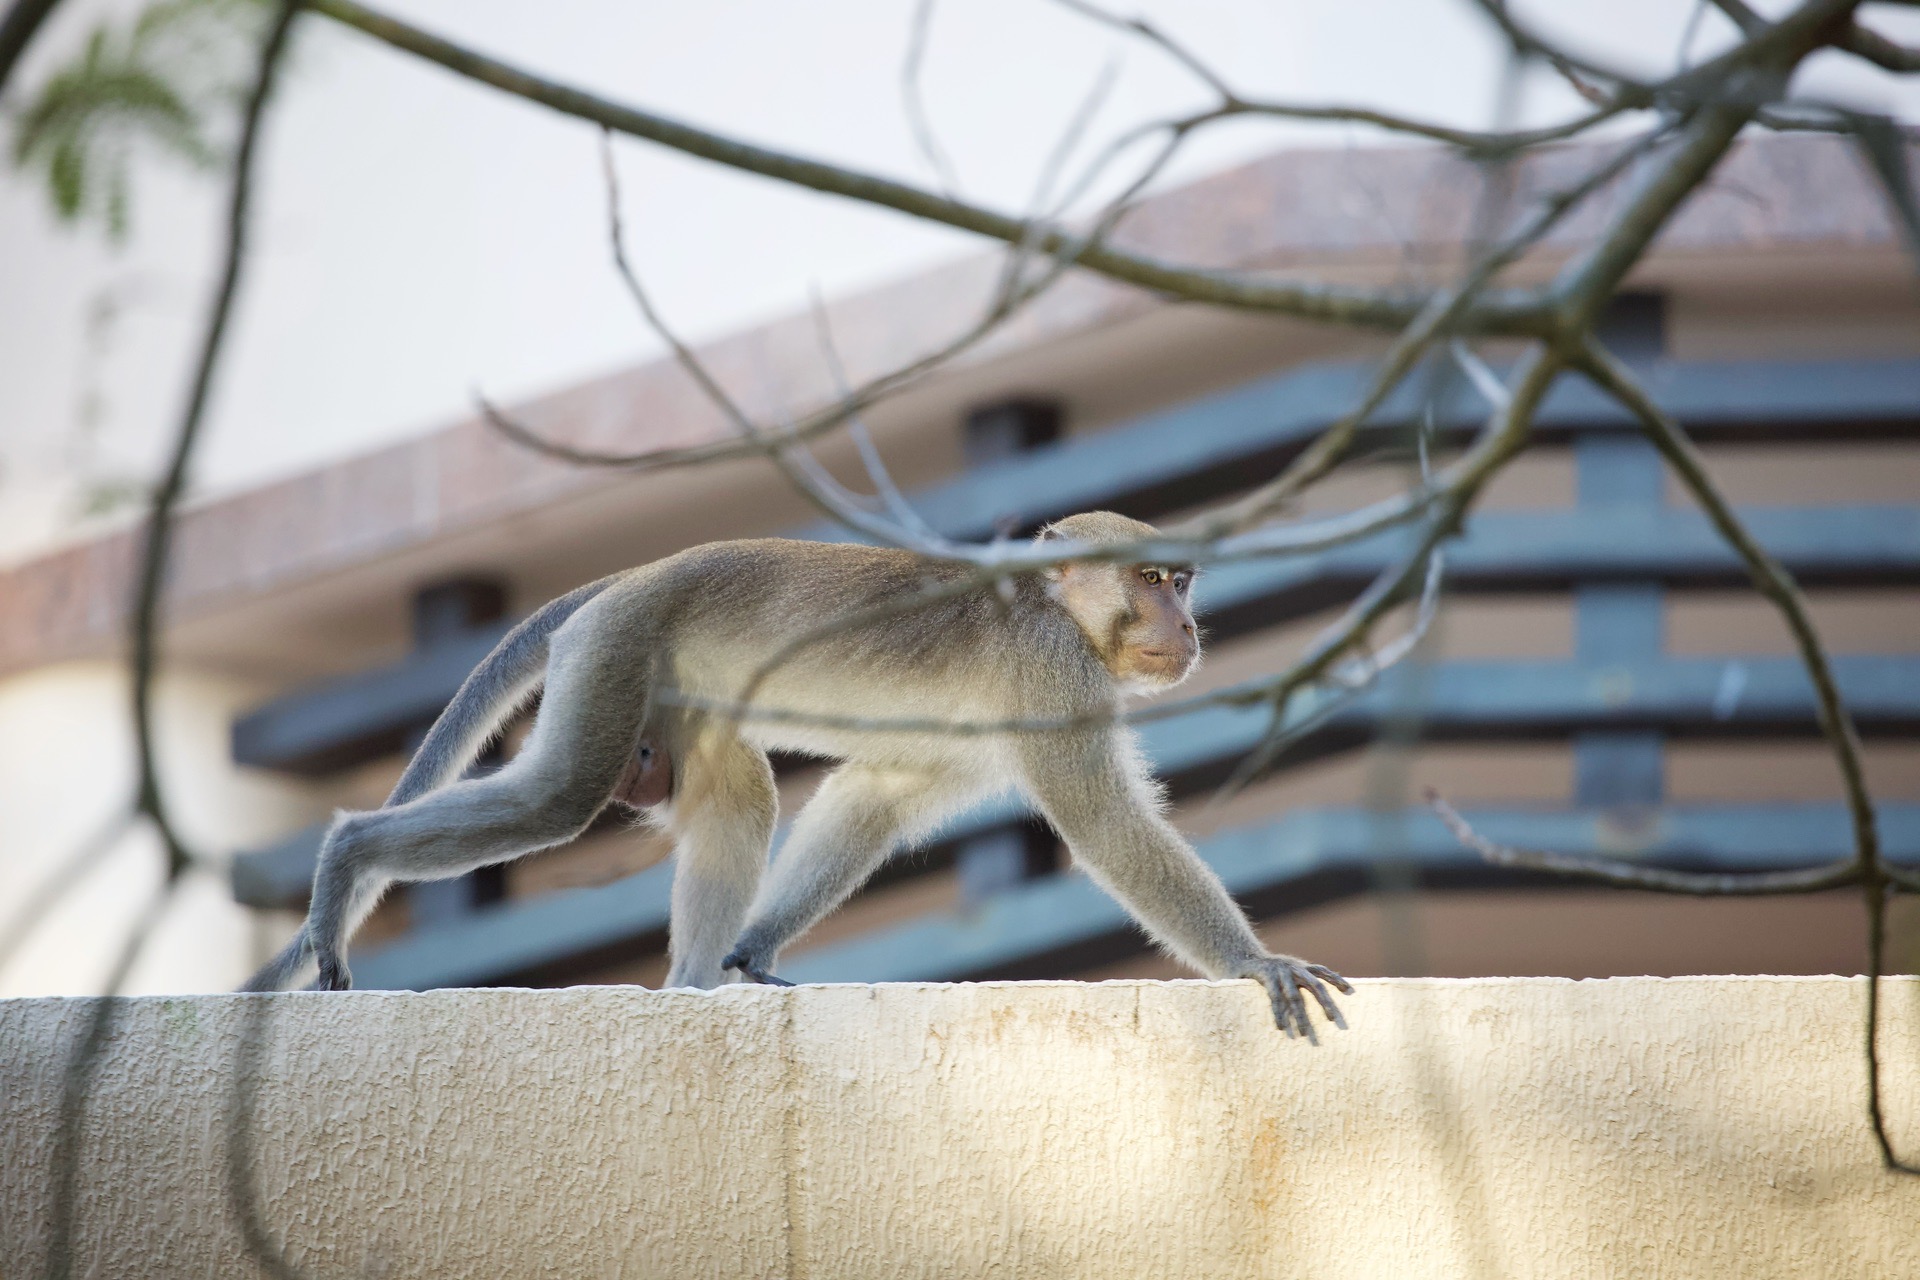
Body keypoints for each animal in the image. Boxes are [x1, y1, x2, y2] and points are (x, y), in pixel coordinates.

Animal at [243, 510, 1351, 1043]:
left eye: (1183, 582)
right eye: (1152, 581)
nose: (1189, 625)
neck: (1052, 609)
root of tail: (631, 576)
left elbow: (879, 791)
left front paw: (753, 948)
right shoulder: (1054, 676)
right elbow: (1107, 826)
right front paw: (1255, 961)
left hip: (669, 684)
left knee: (738, 796)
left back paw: (696, 982)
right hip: (617, 648)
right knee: (555, 798)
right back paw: (347, 858)